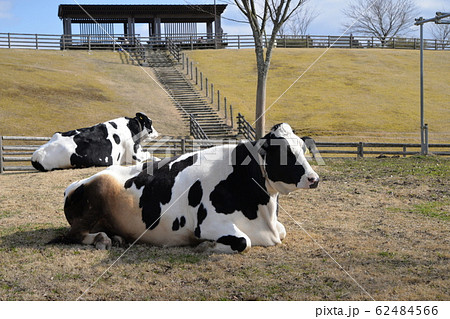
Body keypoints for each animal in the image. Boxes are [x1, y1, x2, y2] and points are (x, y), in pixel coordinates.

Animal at [51, 124, 320, 254]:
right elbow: (244, 241)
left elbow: (282, 231)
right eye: (284, 152)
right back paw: (101, 239)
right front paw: (205, 246)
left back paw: (115, 237)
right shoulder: (209, 223)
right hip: (95, 196)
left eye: (302, 148)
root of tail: (74, 185)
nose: (314, 178)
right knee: (71, 235)